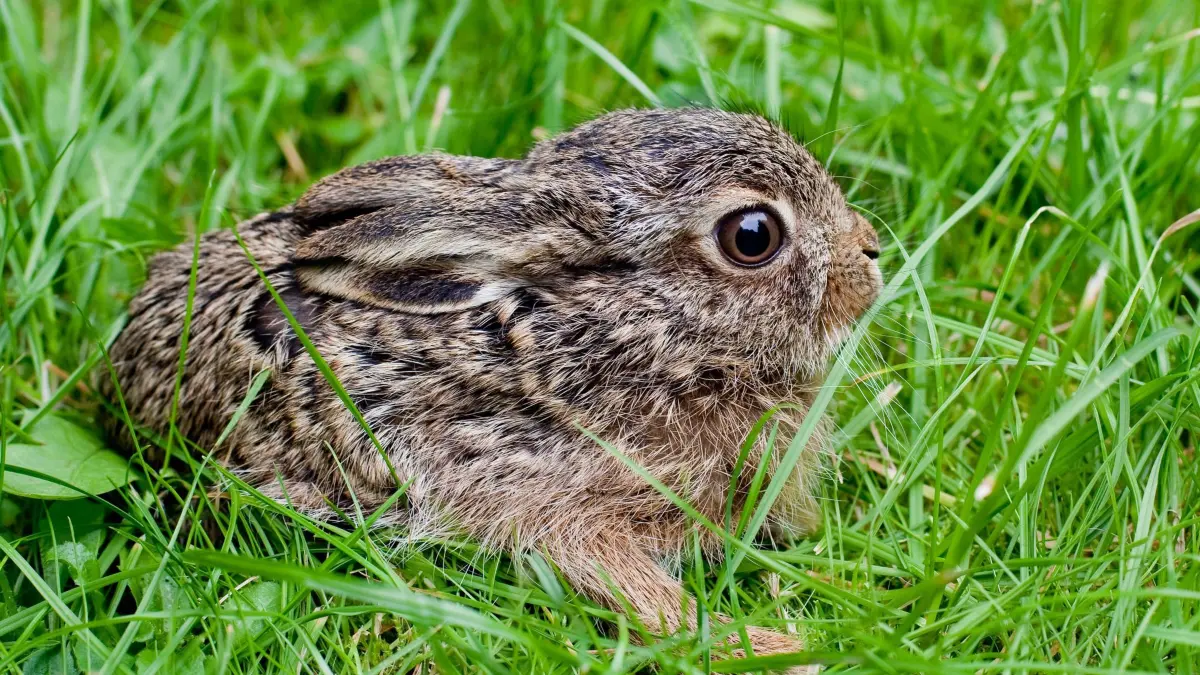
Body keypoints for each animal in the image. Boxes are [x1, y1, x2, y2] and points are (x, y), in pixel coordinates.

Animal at [101, 107, 882, 671]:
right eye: (752, 235)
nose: (870, 254)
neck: (636, 326)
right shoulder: (548, 495)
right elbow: (640, 593)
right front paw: (780, 647)